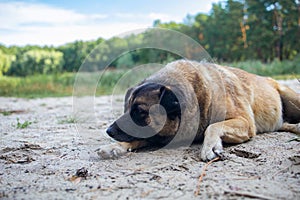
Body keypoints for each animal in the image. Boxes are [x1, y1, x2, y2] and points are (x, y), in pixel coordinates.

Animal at [96, 59, 300, 161]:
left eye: (139, 111)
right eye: (126, 108)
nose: (109, 131)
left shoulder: (245, 123)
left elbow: (213, 126)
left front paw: (210, 147)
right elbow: (137, 139)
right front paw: (114, 147)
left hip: (291, 96)